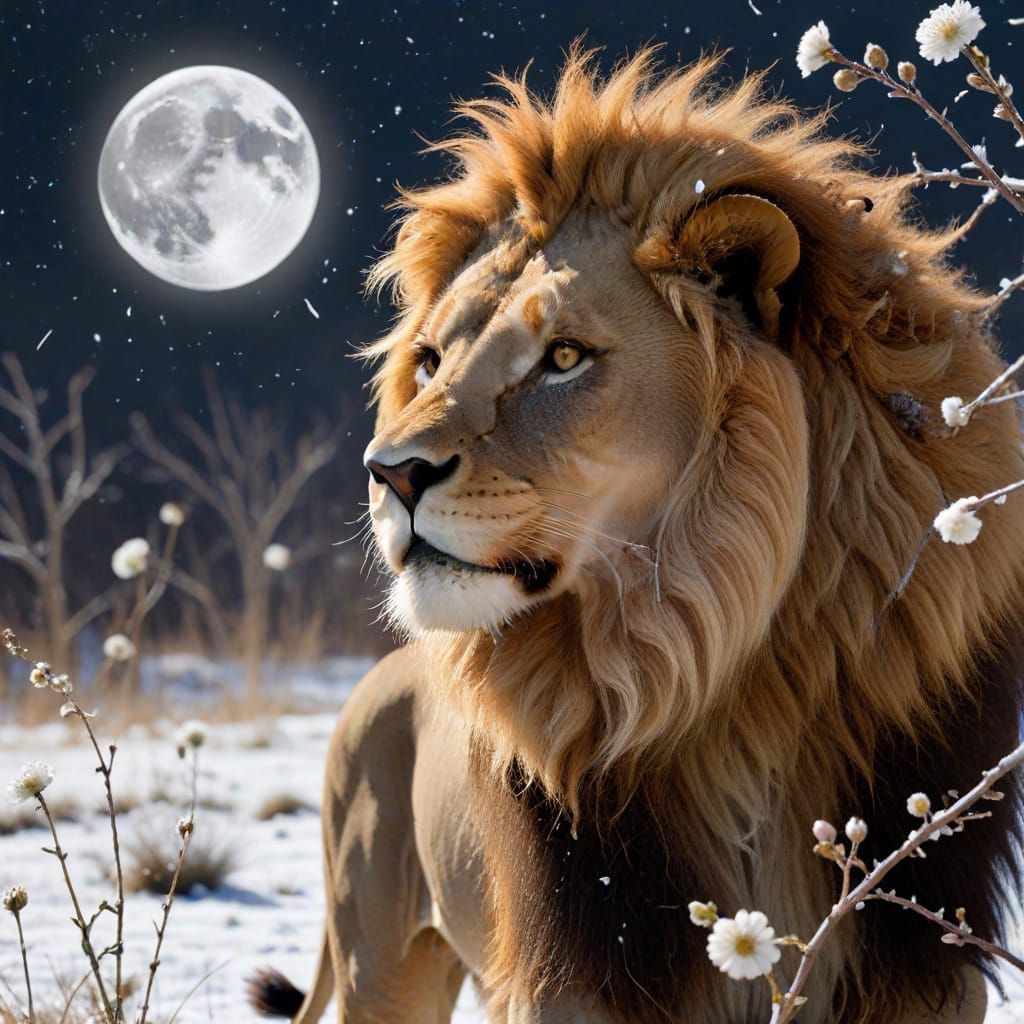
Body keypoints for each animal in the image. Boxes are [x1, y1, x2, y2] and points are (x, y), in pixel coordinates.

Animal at [250, 47, 1024, 1022]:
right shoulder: (578, 970)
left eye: (564, 358)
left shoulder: (920, 975)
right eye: (429, 362)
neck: (723, 677)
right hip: (381, 963)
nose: (388, 472)